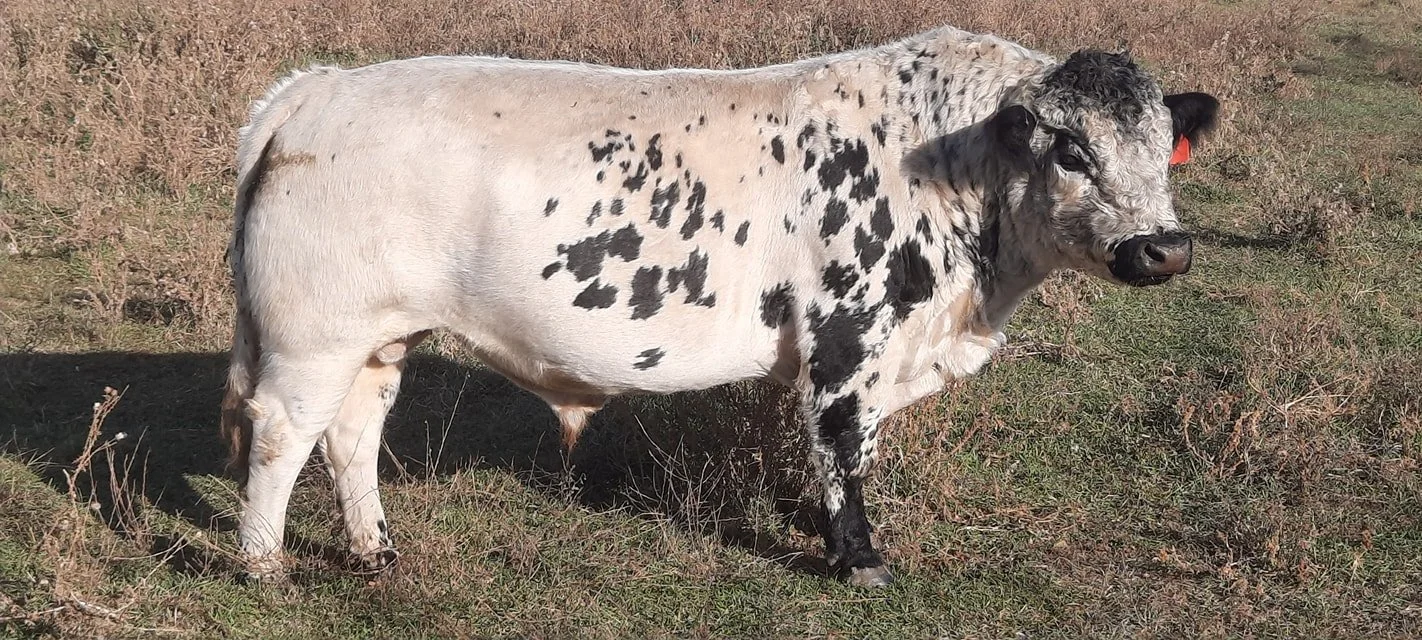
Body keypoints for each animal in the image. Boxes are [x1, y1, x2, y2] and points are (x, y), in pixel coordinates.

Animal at [220, 23, 1218, 587]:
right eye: (1073, 150)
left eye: (1163, 143)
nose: (1164, 248)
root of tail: (319, 87)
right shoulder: (848, 336)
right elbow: (844, 446)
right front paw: (856, 557)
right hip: (313, 337)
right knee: (283, 435)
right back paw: (265, 567)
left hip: (379, 337)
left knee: (354, 434)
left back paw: (373, 553)